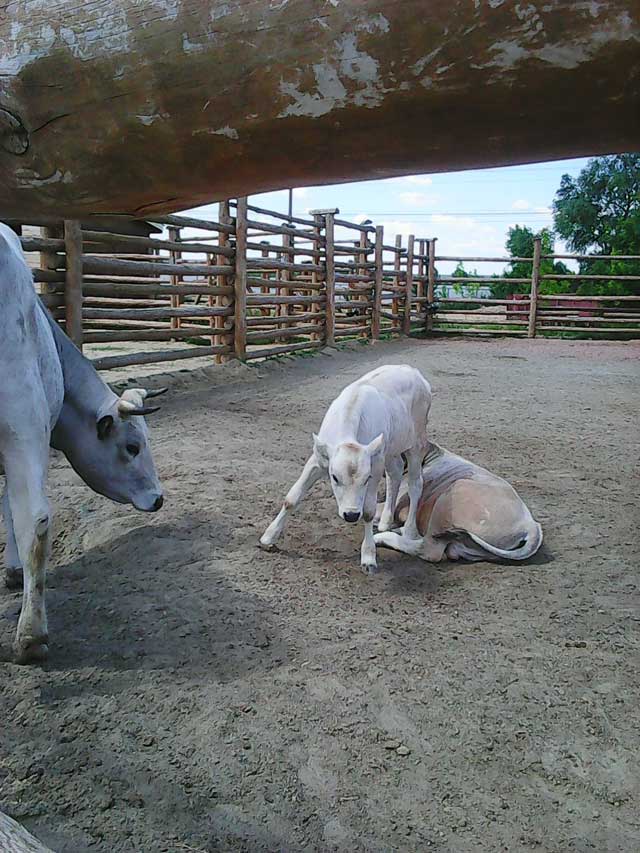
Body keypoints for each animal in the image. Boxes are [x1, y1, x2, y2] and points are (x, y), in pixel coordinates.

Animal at [258, 364, 430, 572]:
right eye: (334, 477)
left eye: (366, 479)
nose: (351, 514)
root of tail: (414, 371)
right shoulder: (317, 459)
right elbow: (292, 497)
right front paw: (268, 537)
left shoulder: (375, 465)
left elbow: (368, 511)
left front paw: (368, 557)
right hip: (390, 447)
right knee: (395, 473)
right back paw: (385, 521)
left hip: (416, 442)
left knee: (415, 483)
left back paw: (410, 530)